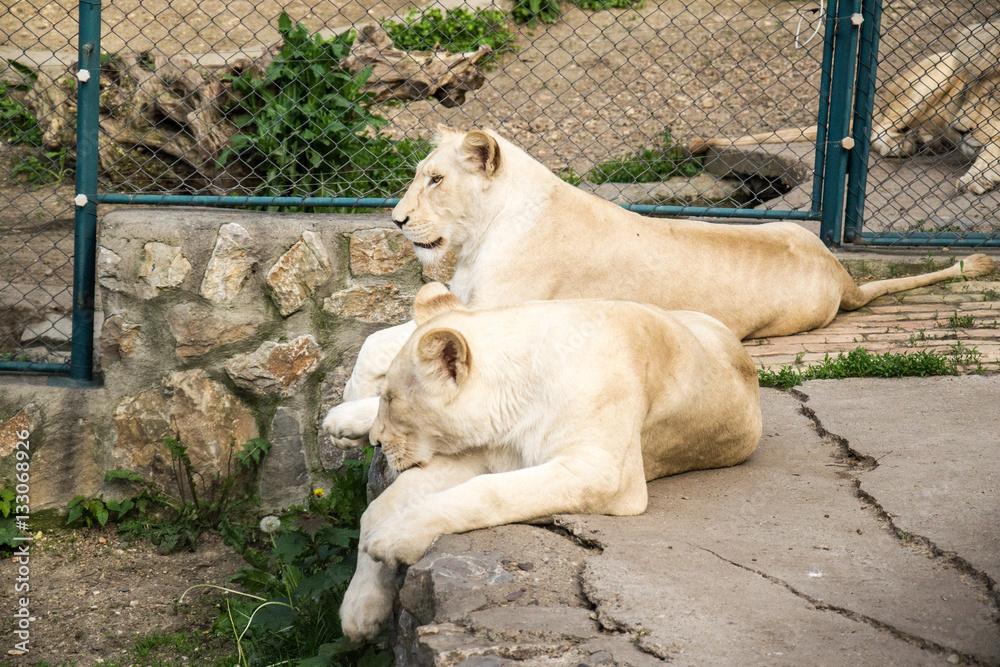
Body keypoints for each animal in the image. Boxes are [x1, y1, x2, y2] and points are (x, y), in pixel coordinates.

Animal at [323, 125, 994, 445]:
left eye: (435, 179)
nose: (396, 220)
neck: (487, 229)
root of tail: (841, 272)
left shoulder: (499, 315)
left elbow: (392, 347)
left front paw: (347, 412)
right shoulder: (465, 308)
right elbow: (379, 340)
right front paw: (355, 390)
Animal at [336, 282, 762, 640]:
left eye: (392, 400)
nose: (377, 441)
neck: (517, 393)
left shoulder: (604, 472)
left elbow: (485, 492)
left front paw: (395, 538)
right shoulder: (481, 452)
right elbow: (377, 508)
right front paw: (360, 611)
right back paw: (340, 421)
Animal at [689, 22, 1000, 194]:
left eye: (992, 97)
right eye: (966, 93)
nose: (960, 129)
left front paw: (980, 176)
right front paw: (979, 177)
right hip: (939, 68)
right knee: (878, 127)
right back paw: (905, 144)